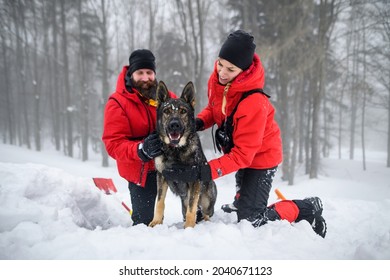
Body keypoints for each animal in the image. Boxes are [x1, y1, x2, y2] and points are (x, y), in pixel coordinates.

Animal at [149, 80, 218, 228]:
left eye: (183, 111)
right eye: (167, 111)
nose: (174, 125)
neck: (175, 150)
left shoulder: (195, 181)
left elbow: (192, 207)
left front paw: (189, 227)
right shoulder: (161, 176)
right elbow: (159, 202)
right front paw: (156, 221)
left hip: (207, 199)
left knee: (205, 213)